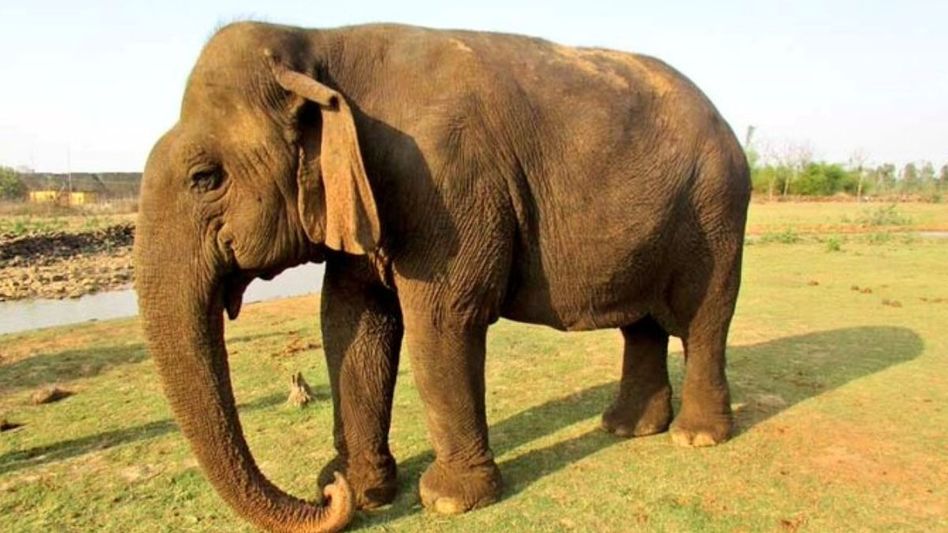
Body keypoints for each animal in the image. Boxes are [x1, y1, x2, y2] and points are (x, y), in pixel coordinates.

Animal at [134, 21, 750, 532]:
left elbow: (441, 319)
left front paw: (448, 501)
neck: (320, 43)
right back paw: (625, 428)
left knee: (705, 319)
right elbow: (351, 322)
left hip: (718, 210)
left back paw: (695, 437)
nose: (326, 491)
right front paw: (366, 490)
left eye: (204, 178)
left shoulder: (447, 184)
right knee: (642, 325)